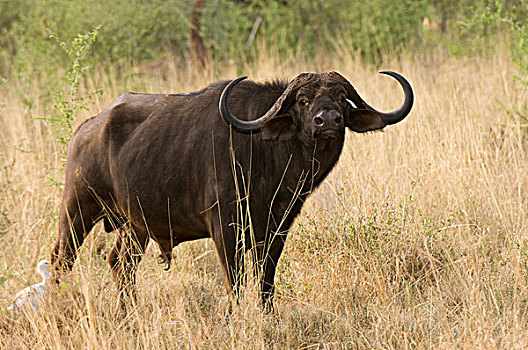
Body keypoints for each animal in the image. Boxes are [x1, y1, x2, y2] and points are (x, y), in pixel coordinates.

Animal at [50, 70, 412, 308]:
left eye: (341, 98)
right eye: (303, 101)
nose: (329, 121)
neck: (267, 154)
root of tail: (86, 129)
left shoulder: (276, 229)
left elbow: (266, 280)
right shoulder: (224, 227)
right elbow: (235, 283)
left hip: (135, 225)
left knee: (120, 264)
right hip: (77, 210)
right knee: (61, 259)